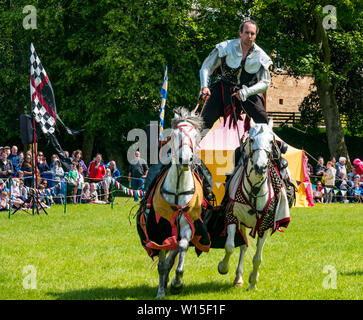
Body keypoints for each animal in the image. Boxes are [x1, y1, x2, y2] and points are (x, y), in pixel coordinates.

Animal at [219, 119, 292, 292]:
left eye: (271, 141)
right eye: (251, 140)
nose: (260, 167)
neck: (255, 189)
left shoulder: (265, 226)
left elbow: (258, 258)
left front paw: (253, 283)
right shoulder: (233, 217)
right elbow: (230, 246)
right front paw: (223, 267)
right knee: (243, 246)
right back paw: (238, 278)